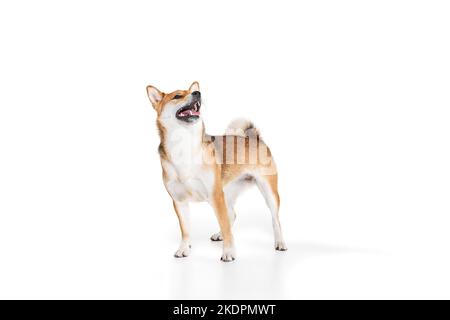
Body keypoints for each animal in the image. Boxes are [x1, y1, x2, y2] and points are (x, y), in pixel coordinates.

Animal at [148, 81, 288, 262]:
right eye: (177, 96)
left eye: (193, 92)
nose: (197, 93)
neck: (184, 147)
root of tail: (254, 138)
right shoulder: (179, 201)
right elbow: (185, 230)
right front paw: (184, 248)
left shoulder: (215, 196)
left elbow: (226, 225)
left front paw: (228, 252)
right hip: (226, 193)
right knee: (231, 215)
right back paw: (219, 234)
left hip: (268, 192)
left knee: (274, 220)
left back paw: (280, 242)